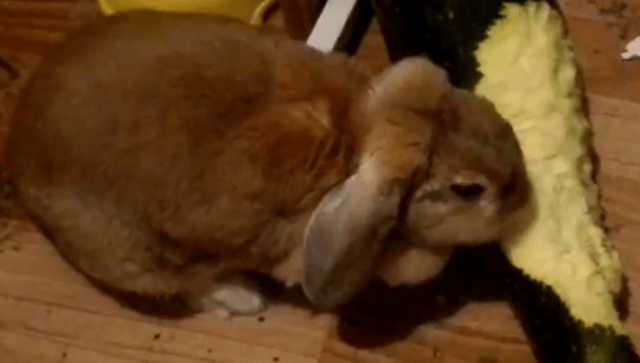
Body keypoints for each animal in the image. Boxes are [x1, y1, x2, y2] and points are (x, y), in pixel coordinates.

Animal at [5, 10, 528, 318]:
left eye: (486, 111)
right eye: (468, 190)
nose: (526, 198)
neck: (354, 133)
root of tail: (18, 148)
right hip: (143, 257)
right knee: (185, 282)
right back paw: (239, 298)